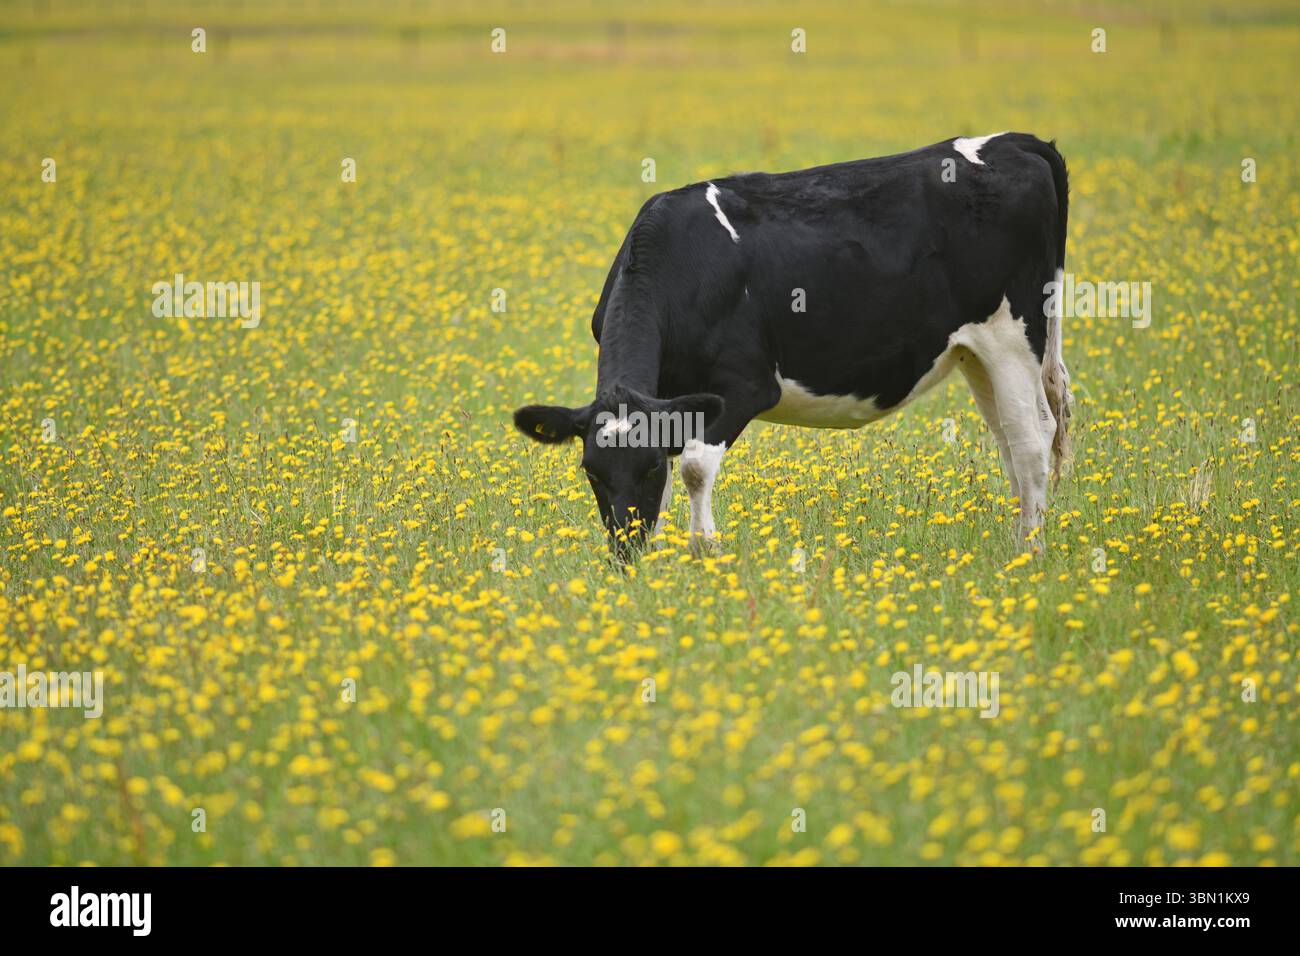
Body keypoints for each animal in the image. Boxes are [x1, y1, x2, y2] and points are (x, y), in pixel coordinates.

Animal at [514, 132, 1072, 560]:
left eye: (646, 465)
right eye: (591, 470)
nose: (624, 554)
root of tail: (1015, 141)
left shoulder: (743, 386)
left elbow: (693, 466)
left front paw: (703, 551)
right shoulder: (669, 398)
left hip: (1014, 334)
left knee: (1032, 437)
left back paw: (1030, 552)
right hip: (975, 351)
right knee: (1010, 438)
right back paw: (1016, 538)